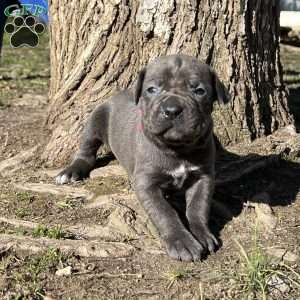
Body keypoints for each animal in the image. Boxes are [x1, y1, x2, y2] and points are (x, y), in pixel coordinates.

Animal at [56, 55, 230, 262]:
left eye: (199, 91)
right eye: (152, 89)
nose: (172, 109)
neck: (176, 148)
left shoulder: (203, 177)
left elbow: (198, 207)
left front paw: (202, 234)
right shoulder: (146, 183)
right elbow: (164, 212)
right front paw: (182, 242)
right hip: (95, 119)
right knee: (87, 150)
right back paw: (71, 171)